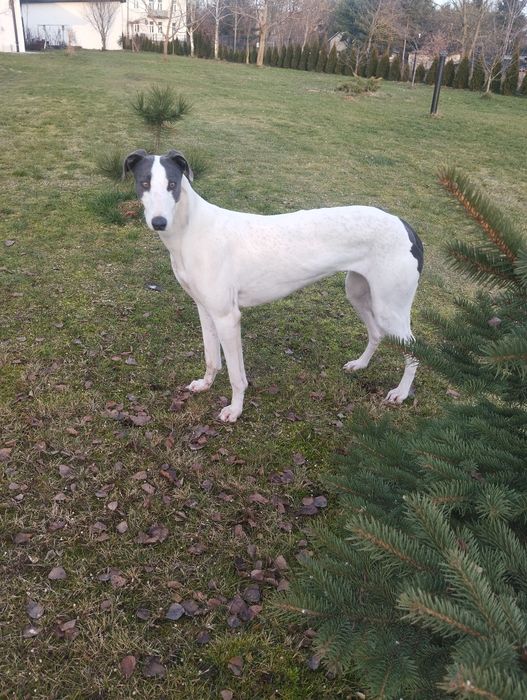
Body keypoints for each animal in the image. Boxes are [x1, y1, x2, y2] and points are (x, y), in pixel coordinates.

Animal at [124, 149, 423, 423]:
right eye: (144, 183)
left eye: (172, 184)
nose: (159, 222)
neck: (191, 230)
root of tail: (406, 225)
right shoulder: (205, 309)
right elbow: (212, 358)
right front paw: (205, 384)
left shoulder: (228, 317)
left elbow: (237, 376)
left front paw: (235, 410)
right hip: (359, 293)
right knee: (376, 333)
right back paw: (360, 364)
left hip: (390, 307)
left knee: (414, 350)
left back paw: (401, 393)